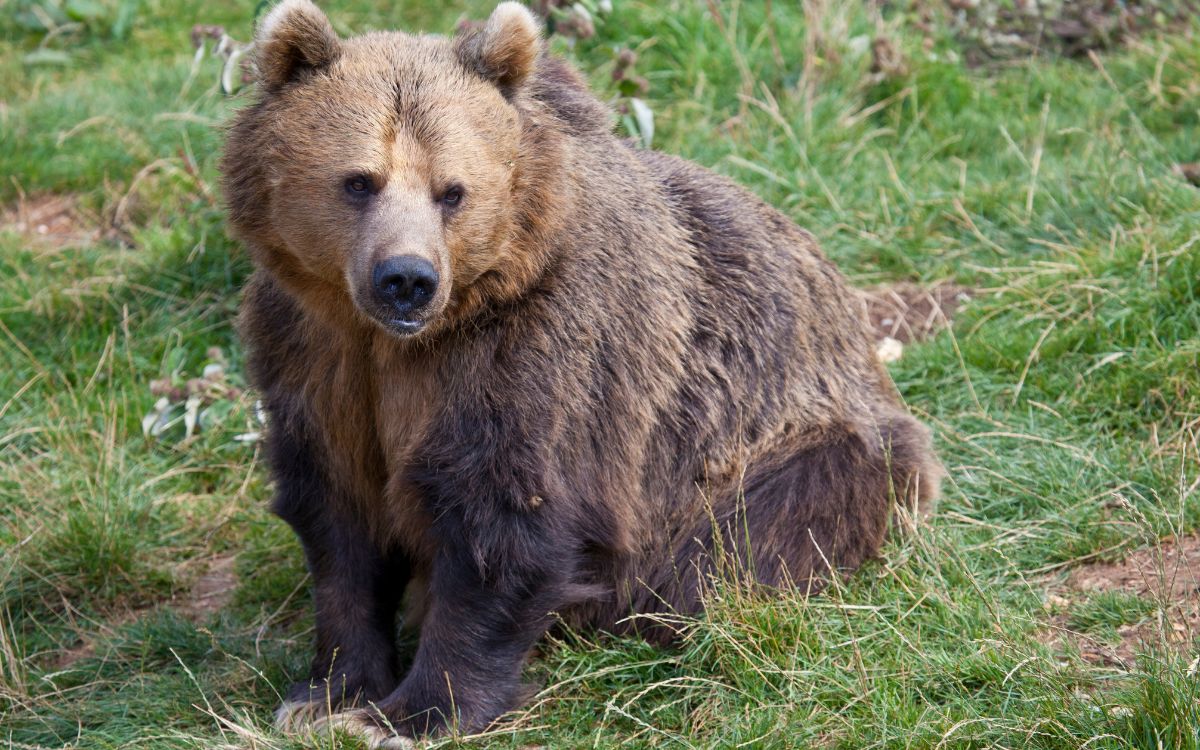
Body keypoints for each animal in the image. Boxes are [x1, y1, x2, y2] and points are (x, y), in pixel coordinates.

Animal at [221, 1, 941, 745]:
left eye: (453, 191)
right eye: (359, 181)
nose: (407, 280)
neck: (404, 342)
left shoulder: (538, 354)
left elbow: (506, 521)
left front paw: (410, 713)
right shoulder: (314, 354)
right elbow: (339, 519)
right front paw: (327, 692)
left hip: (792, 449)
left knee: (729, 554)